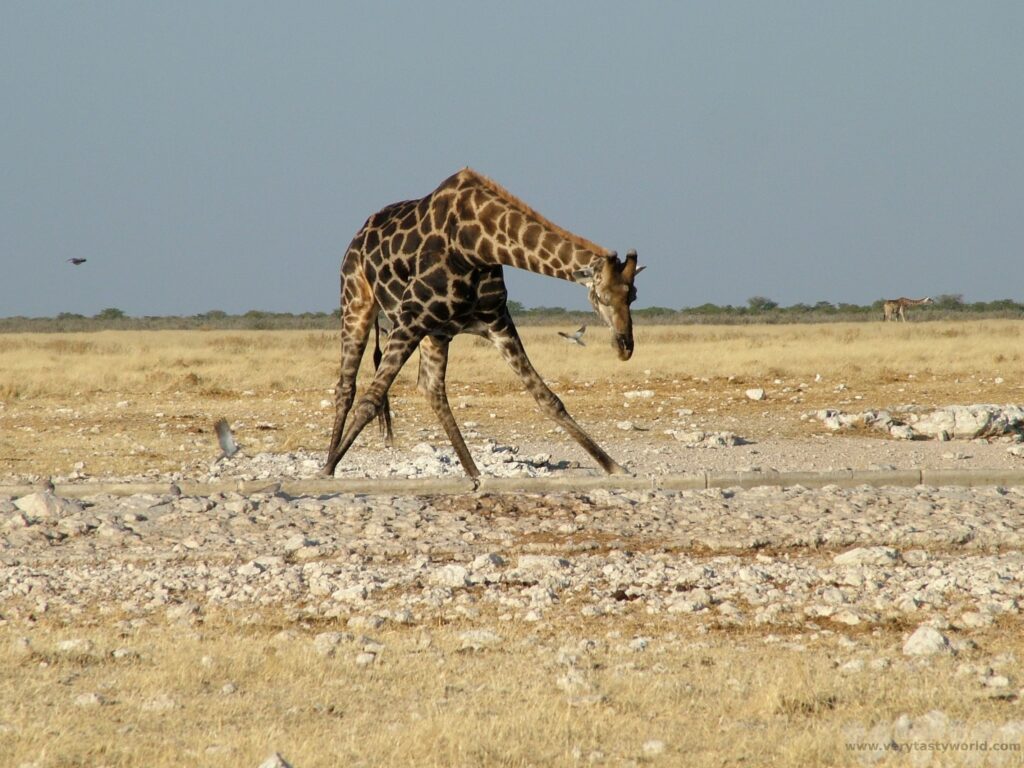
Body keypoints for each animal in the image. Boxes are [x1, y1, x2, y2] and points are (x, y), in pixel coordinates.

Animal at [324, 168, 643, 479]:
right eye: (601, 297)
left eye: (634, 295)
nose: (625, 346)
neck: (476, 244)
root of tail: (358, 235)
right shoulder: (411, 316)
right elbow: (370, 400)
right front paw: (326, 473)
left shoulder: (496, 320)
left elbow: (547, 398)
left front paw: (616, 467)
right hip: (356, 302)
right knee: (346, 388)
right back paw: (329, 462)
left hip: (436, 333)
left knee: (431, 388)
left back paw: (476, 474)